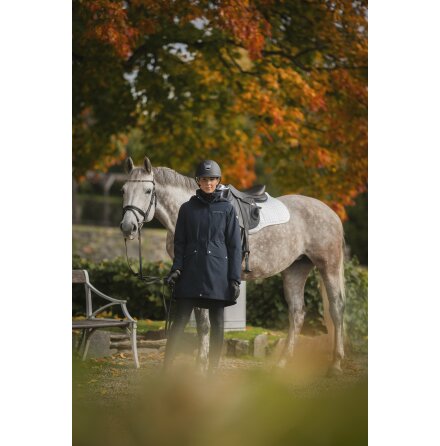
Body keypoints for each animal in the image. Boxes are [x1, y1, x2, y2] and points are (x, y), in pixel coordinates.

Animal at [120, 155, 348, 374]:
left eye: (148, 190)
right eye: (123, 190)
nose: (127, 227)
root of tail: (330, 213)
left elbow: (208, 324)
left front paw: (203, 366)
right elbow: (202, 324)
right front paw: (200, 365)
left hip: (328, 266)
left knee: (336, 309)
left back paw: (336, 365)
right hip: (295, 270)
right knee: (297, 313)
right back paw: (282, 364)